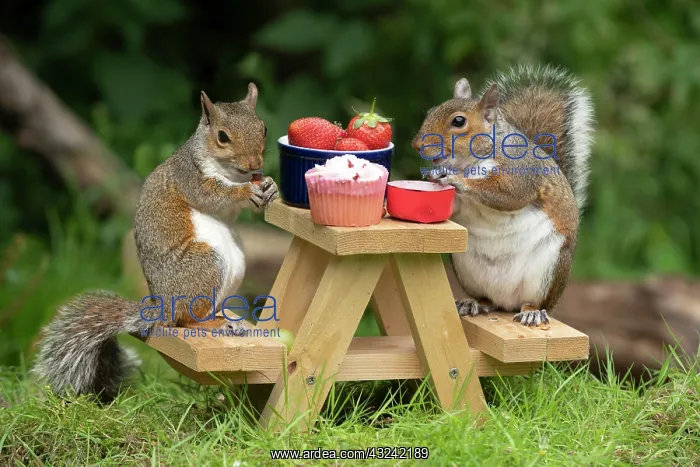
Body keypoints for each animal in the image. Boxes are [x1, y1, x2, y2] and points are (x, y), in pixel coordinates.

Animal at [31, 83, 279, 402]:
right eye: (222, 136)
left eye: (263, 128)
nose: (255, 164)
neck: (231, 173)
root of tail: (162, 307)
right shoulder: (189, 177)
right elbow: (213, 195)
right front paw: (245, 190)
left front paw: (270, 185)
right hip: (206, 263)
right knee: (186, 319)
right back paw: (213, 324)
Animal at [413, 64, 594, 327]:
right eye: (431, 111)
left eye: (459, 121)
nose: (416, 145)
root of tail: (507, 301)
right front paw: (435, 177)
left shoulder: (520, 173)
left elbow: (508, 195)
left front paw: (457, 180)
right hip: (465, 267)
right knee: (489, 300)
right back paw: (474, 303)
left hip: (548, 270)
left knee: (535, 302)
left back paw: (532, 312)